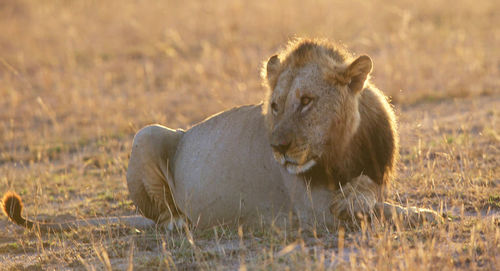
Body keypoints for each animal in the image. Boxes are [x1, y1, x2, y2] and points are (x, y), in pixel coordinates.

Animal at [0, 38, 442, 234]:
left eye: (306, 101)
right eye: (276, 105)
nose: (277, 147)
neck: (341, 148)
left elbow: (374, 199)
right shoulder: (315, 212)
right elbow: (377, 210)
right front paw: (429, 213)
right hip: (147, 134)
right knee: (164, 218)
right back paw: (182, 224)